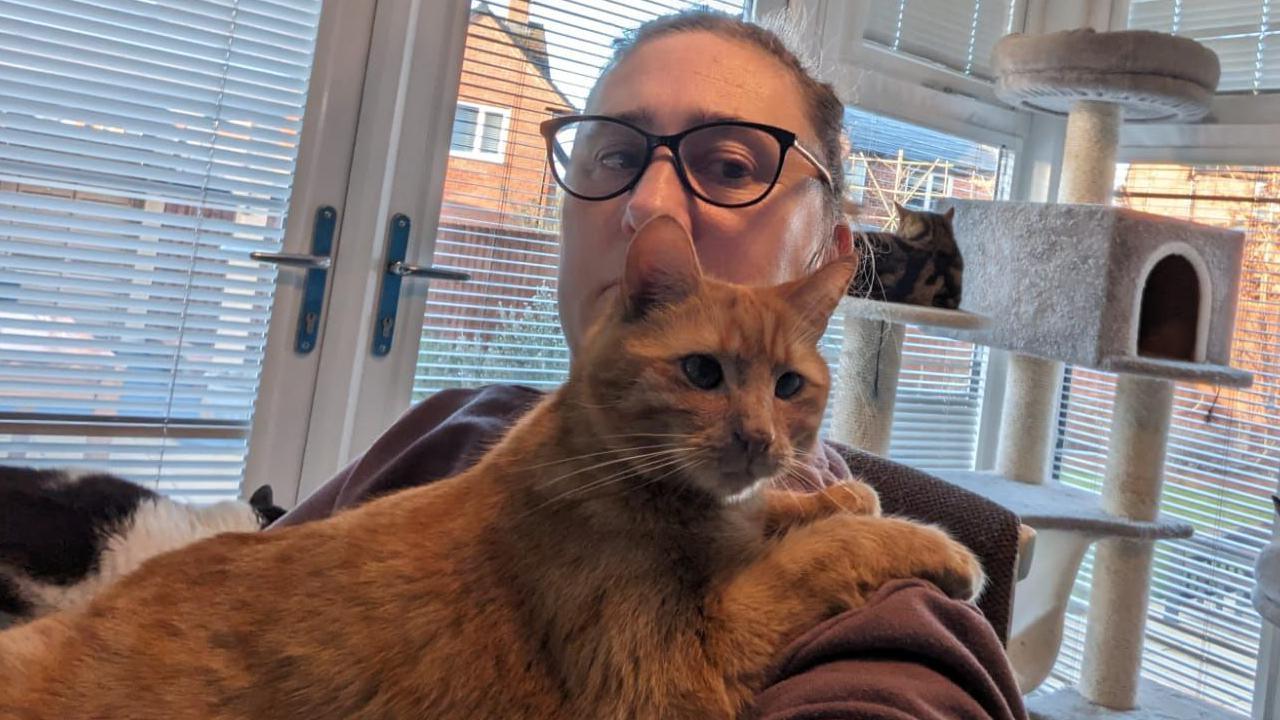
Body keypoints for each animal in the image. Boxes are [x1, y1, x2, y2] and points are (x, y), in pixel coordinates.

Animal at [0, 215, 983, 712]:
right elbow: (815, 558)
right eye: (703, 372)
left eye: (788, 386)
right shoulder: (676, 669)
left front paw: (843, 494)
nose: (758, 440)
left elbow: (786, 519)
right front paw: (930, 544)